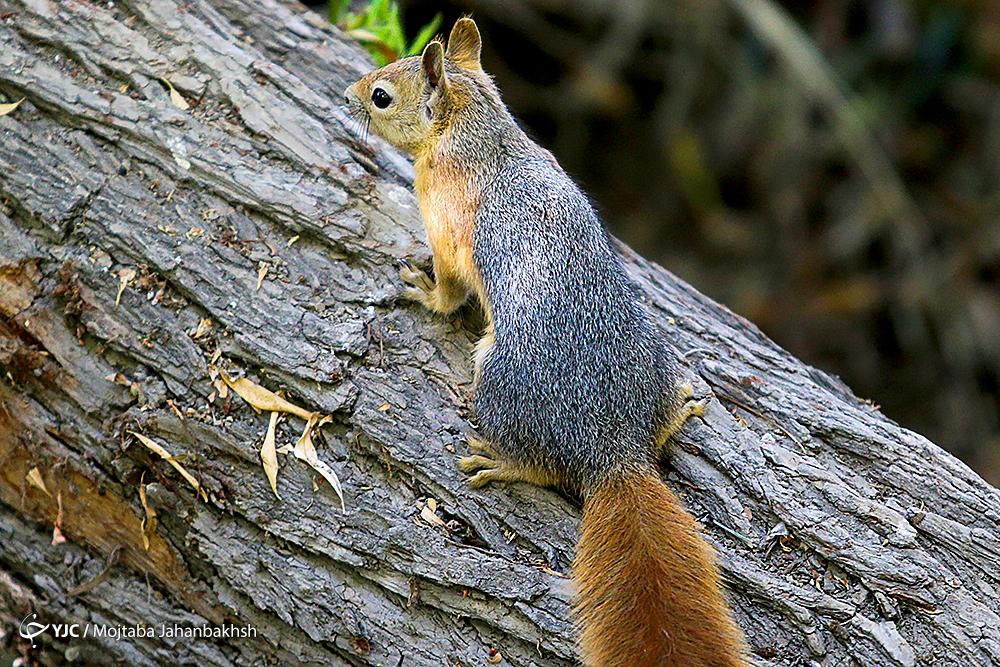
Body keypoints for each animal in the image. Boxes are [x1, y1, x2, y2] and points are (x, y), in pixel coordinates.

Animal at [348, 18, 748, 664]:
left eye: (382, 96)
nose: (349, 95)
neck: (480, 137)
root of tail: (614, 450)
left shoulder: (447, 230)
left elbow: (450, 290)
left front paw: (424, 291)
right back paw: (681, 411)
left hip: (496, 380)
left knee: (547, 471)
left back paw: (505, 463)